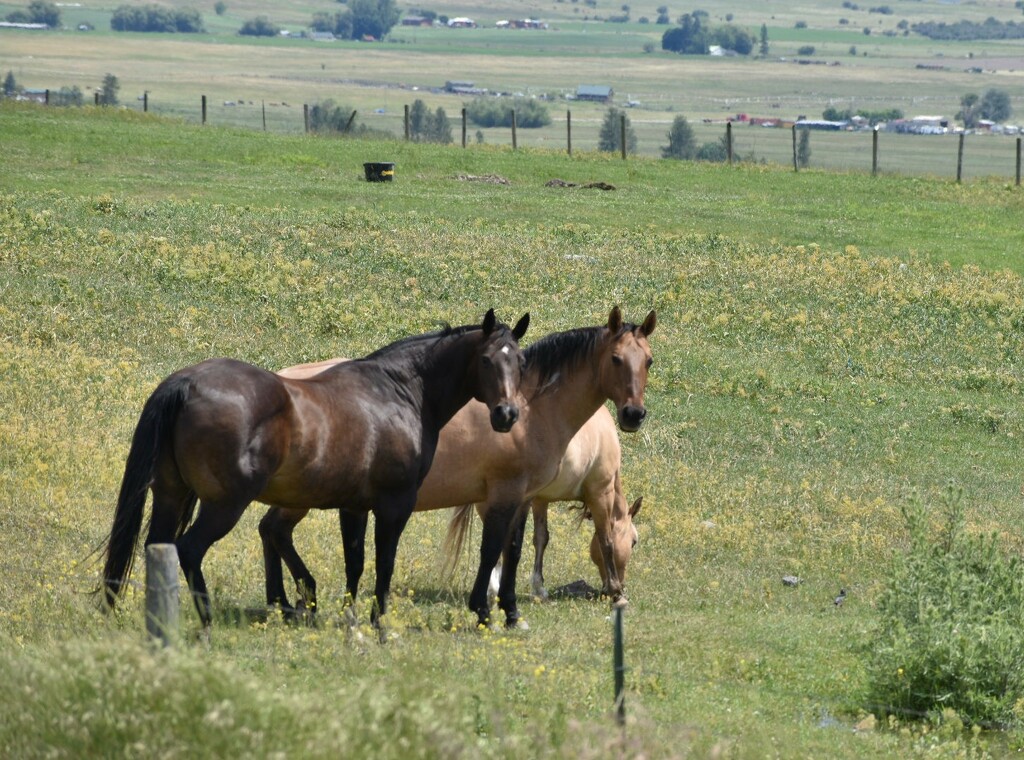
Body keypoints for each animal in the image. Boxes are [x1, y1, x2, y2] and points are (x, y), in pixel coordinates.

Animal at [260, 307, 651, 626]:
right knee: (275, 530)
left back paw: (285, 602)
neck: (531, 409)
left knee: (271, 530)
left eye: (647, 360)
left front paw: (511, 612)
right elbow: (495, 549)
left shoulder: (523, 498)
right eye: (616, 359)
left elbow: (514, 550)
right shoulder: (509, 494)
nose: (633, 414)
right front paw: (484, 610)